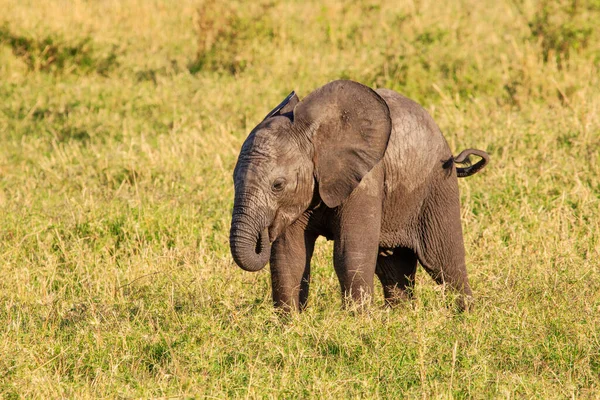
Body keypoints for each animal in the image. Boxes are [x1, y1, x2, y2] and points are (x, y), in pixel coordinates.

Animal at [229, 80, 488, 312]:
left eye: (278, 185)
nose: (266, 231)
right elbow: (289, 256)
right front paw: (288, 324)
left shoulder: (366, 178)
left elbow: (350, 254)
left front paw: (357, 322)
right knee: (393, 267)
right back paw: (401, 318)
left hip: (437, 185)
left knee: (444, 262)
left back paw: (464, 318)